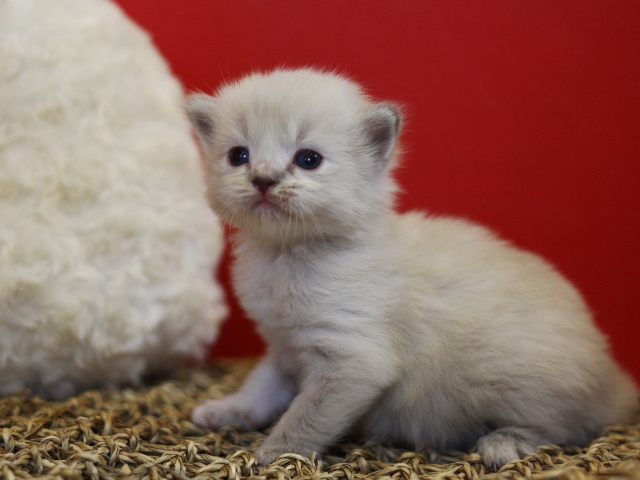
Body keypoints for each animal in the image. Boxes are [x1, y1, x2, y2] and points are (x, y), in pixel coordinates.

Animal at [184, 67, 636, 468]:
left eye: (308, 159)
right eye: (238, 156)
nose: (263, 179)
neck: (285, 256)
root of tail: (612, 378)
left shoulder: (352, 362)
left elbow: (305, 415)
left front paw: (275, 453)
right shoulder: (283, 347)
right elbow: (259, 389)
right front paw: (225, 411)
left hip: (510, 377)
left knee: (565, 427)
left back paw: (504, 443)